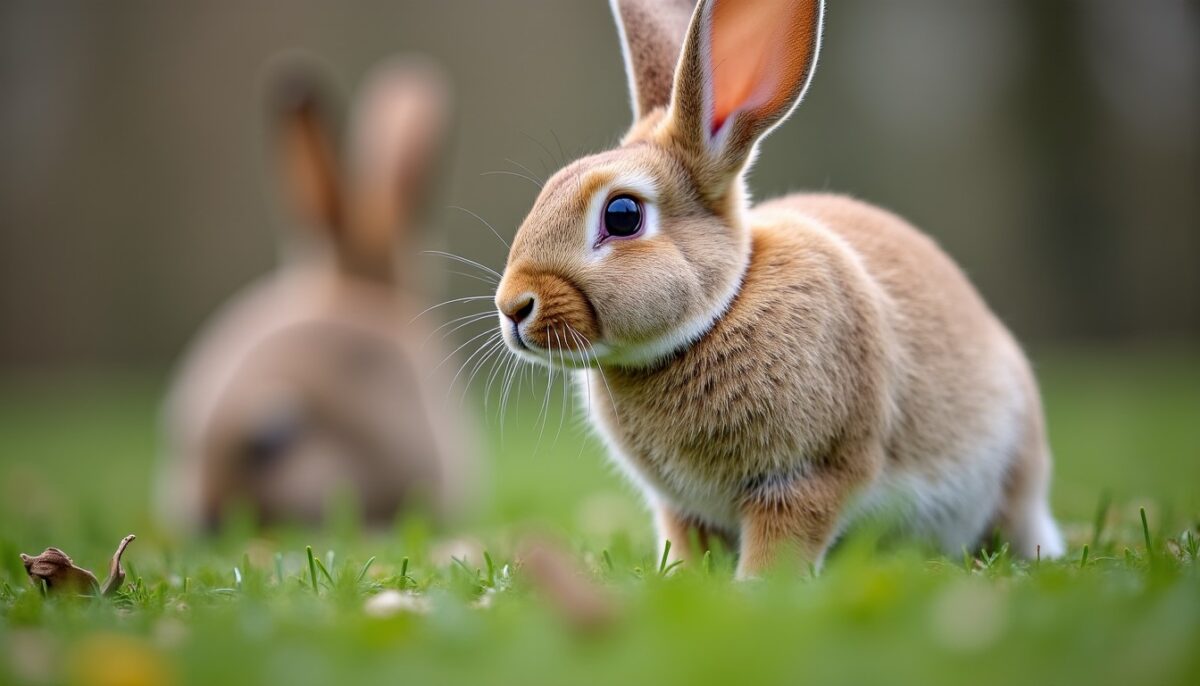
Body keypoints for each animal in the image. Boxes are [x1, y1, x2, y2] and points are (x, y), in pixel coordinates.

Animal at [492, 0, 1065, 577]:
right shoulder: (681, 506)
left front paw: (756, 585)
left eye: (623, 215)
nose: (513, 307)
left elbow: (783, 539)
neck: (720, 311)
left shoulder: (806, 475)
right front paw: (684, 579)